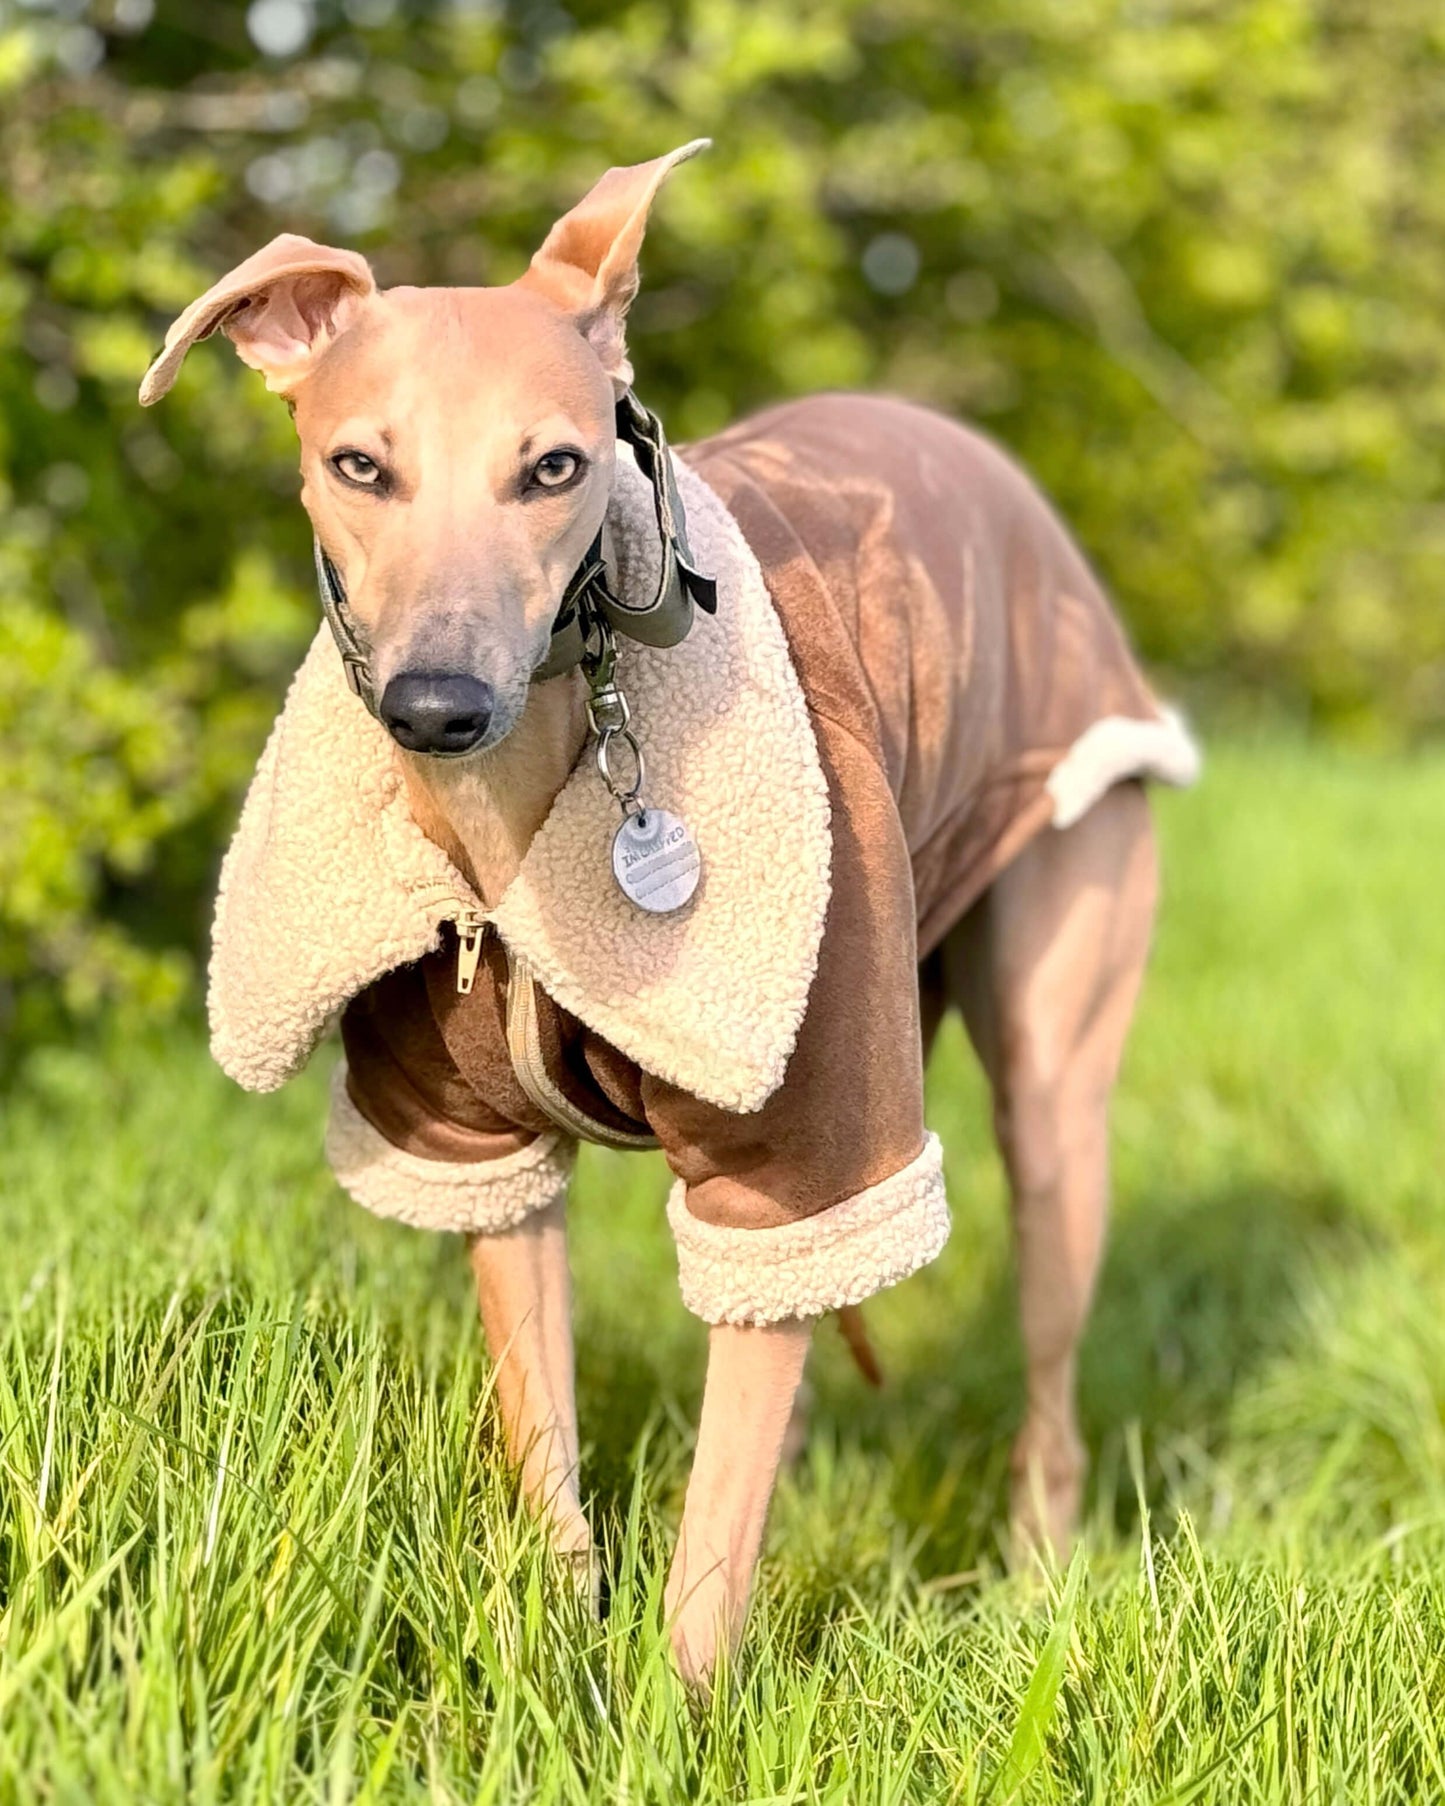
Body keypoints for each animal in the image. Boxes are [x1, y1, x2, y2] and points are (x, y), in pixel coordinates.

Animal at [140, 144, 1199, 1690]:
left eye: (554, 466)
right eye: (358, 465)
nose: (437, 707)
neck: (517, 827)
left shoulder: (803, 1142)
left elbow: (706, 1572)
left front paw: (673, 1713)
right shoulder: (480, 1154)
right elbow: (546, 1446)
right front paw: (546, 1659)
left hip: (1056, 1064)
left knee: (1042, 1381)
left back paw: (1038, 1581)